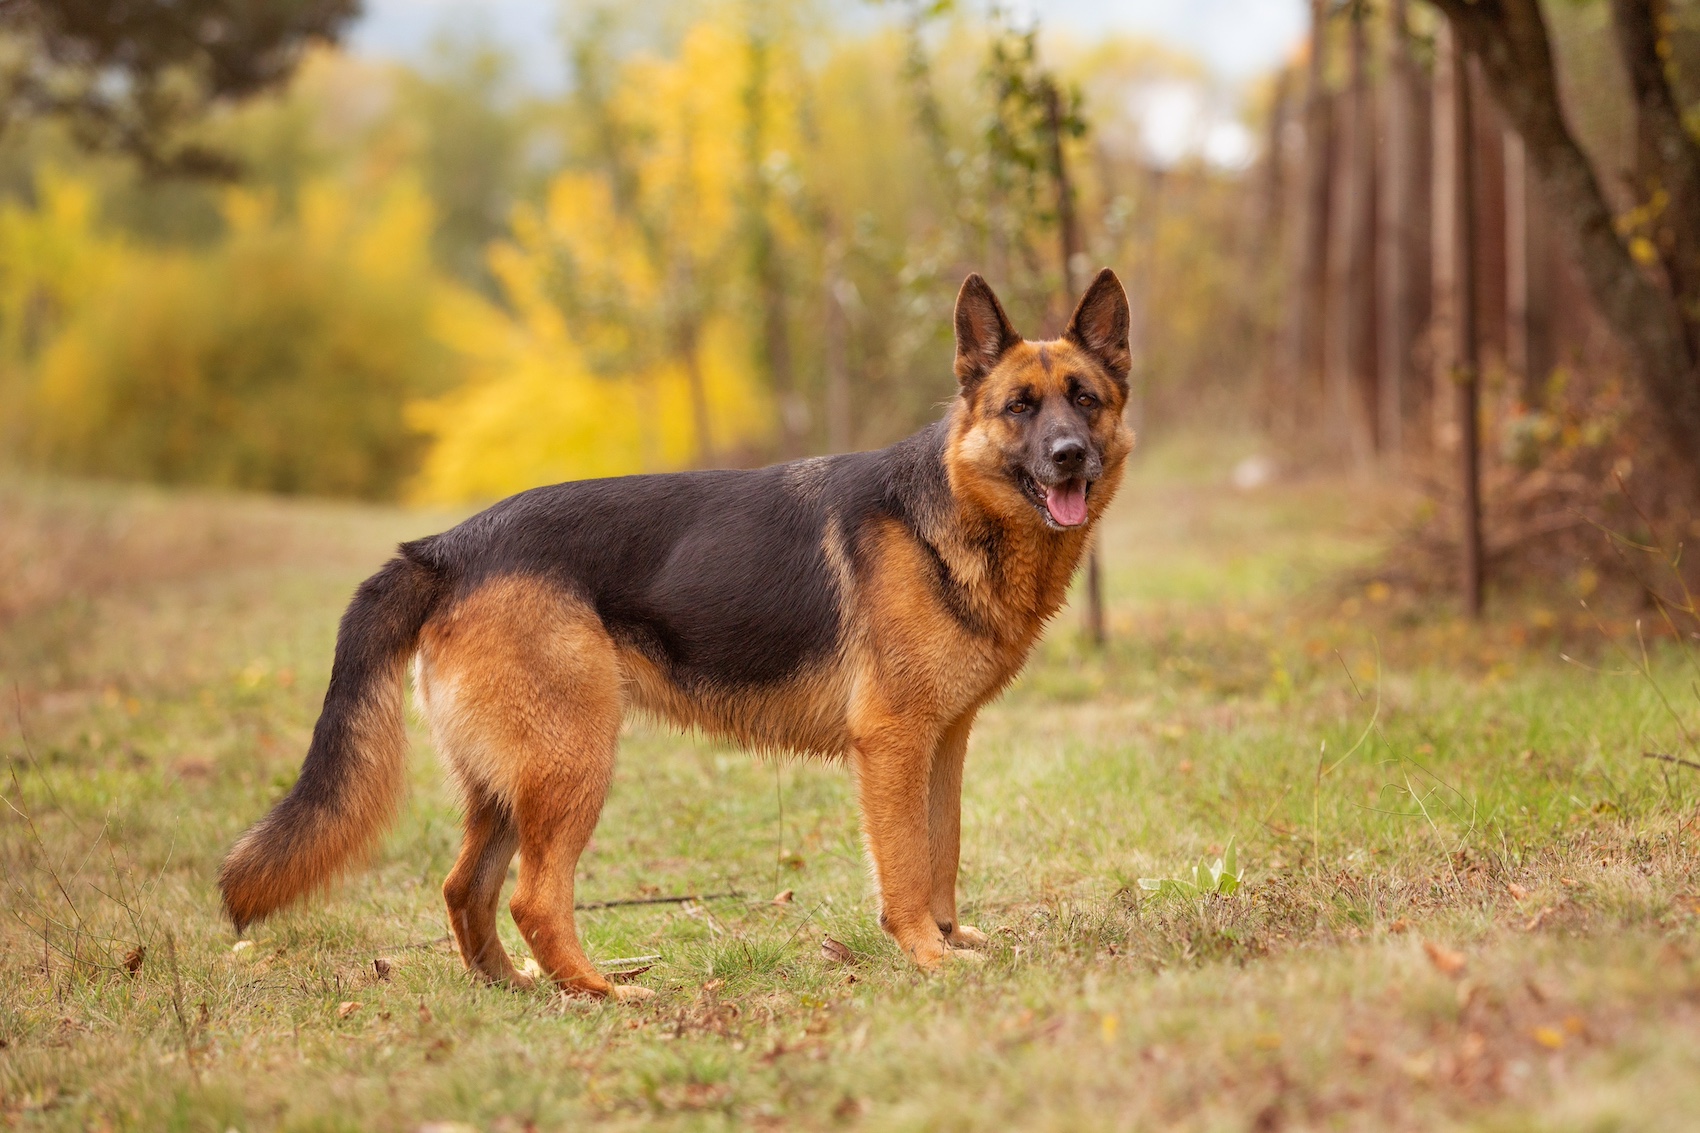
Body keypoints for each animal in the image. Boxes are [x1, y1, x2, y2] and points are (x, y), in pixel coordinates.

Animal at [219, 267, 1135, 1000]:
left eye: (1085, 399)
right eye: (1019, 407)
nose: (1068, 456)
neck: (948, 510)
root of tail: (446, 547)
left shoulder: (944, 742)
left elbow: (943, 849)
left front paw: (950, 937)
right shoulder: (894, 744)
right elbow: (909, 865)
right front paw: (926, 955)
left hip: (510, 783)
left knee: (462, 887)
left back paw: (515, 986)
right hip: (574, 762)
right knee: (531, 897)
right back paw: (600, 993)